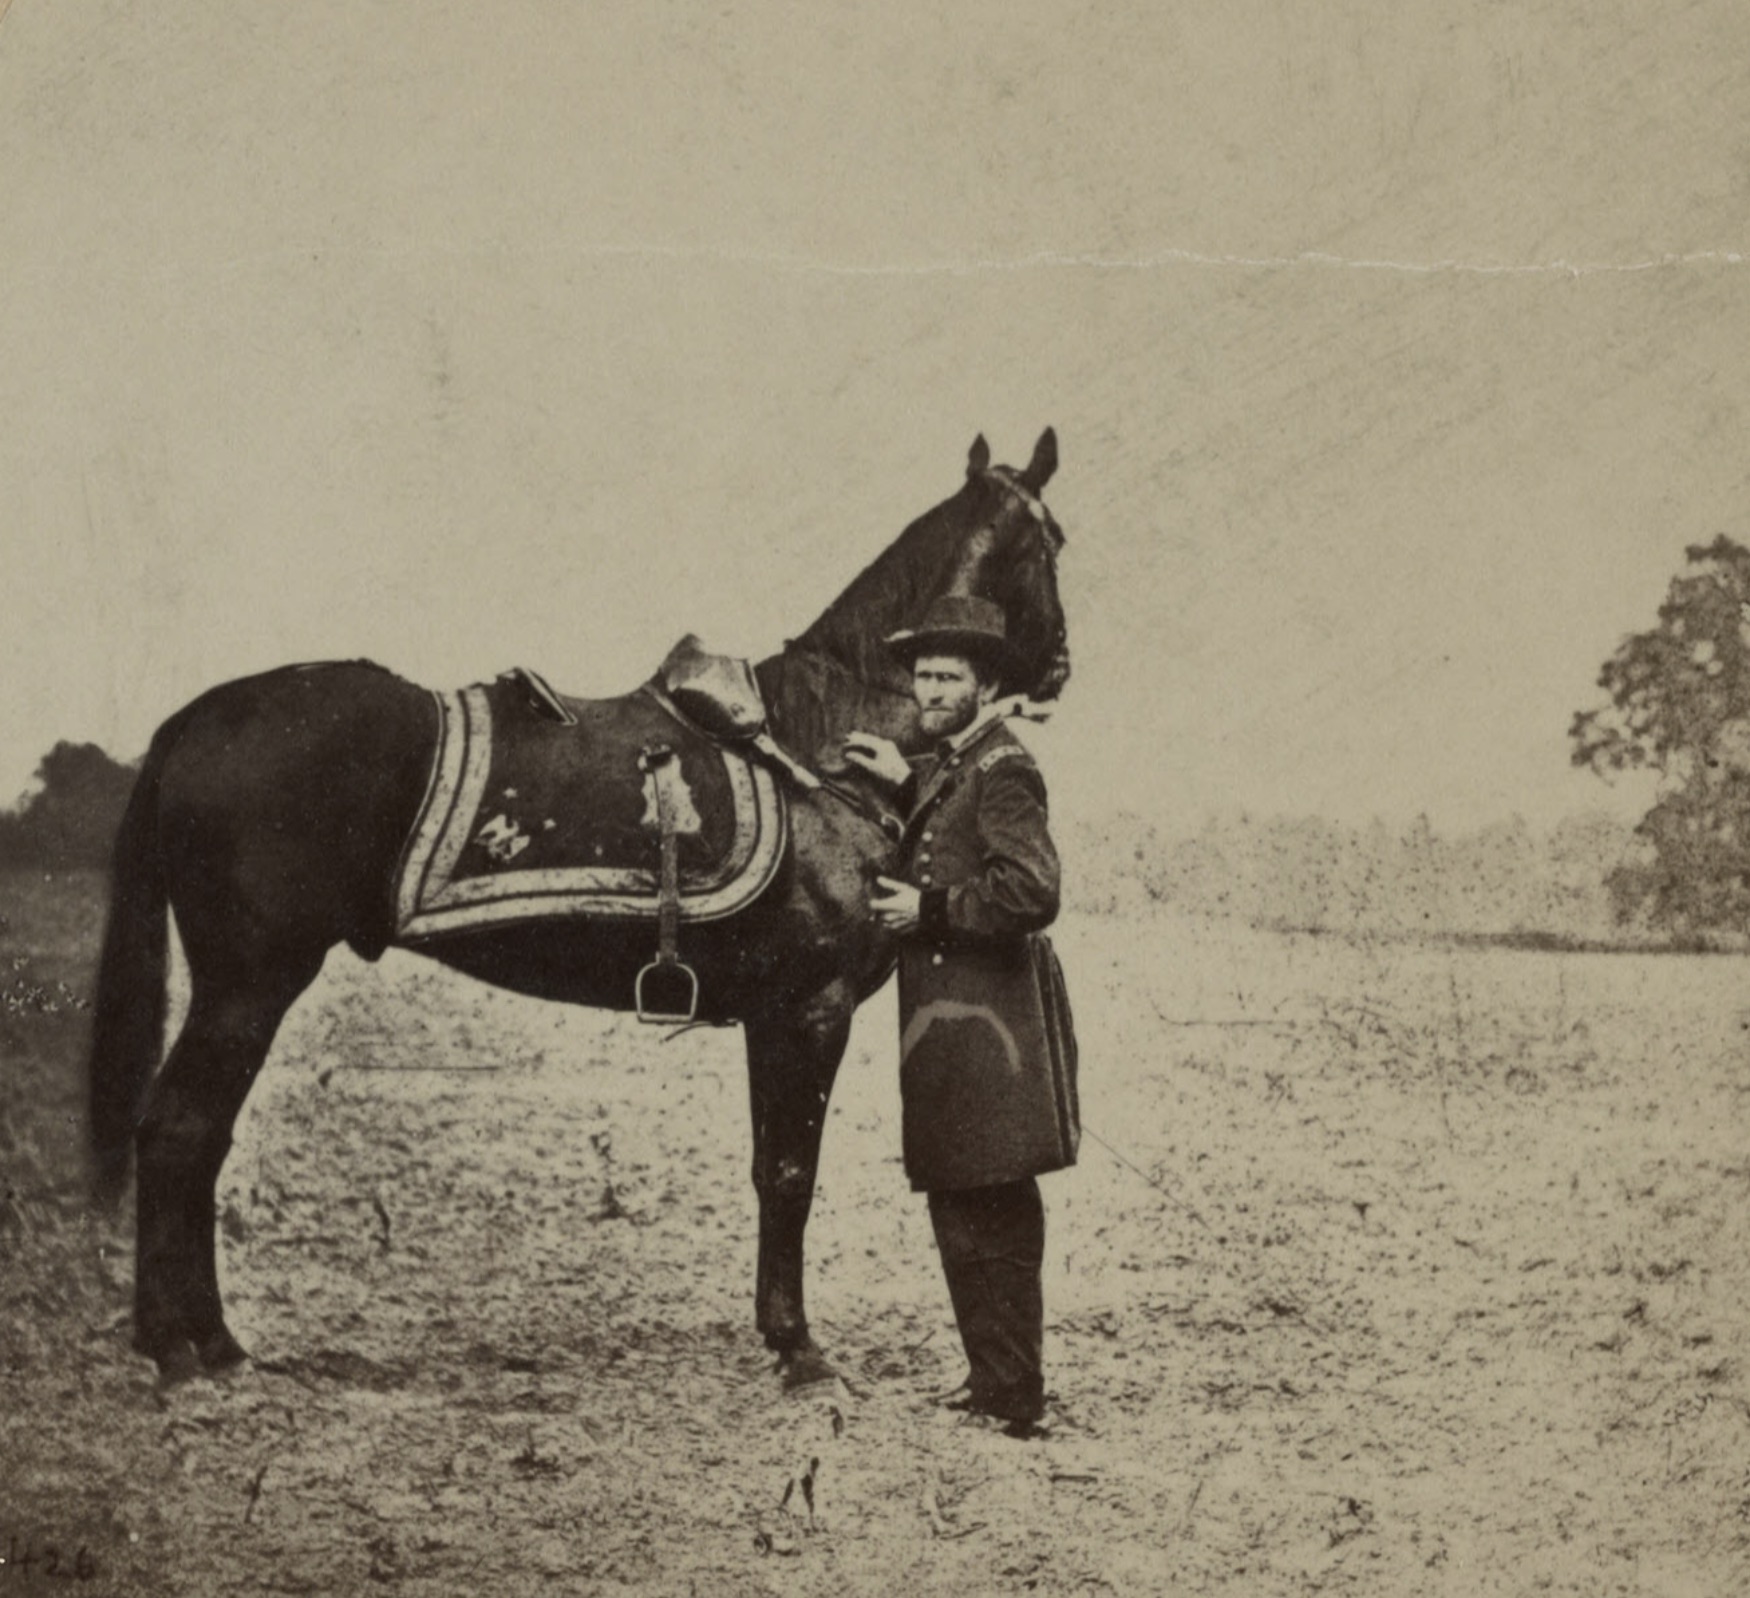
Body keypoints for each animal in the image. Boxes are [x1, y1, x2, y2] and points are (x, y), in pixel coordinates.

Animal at [88, 429, 1070, 1386]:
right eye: (1047, 545)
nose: (1060, 666)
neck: (816, 745)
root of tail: (193, 721)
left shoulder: (774, 1016)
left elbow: (770, 1170)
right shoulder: (808, 1010)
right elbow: (790, 1173)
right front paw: (798, 1348)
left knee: (198, 1140)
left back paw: (210, 1342)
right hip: (247, 986)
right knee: (178, 1133)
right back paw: (182, 1350)